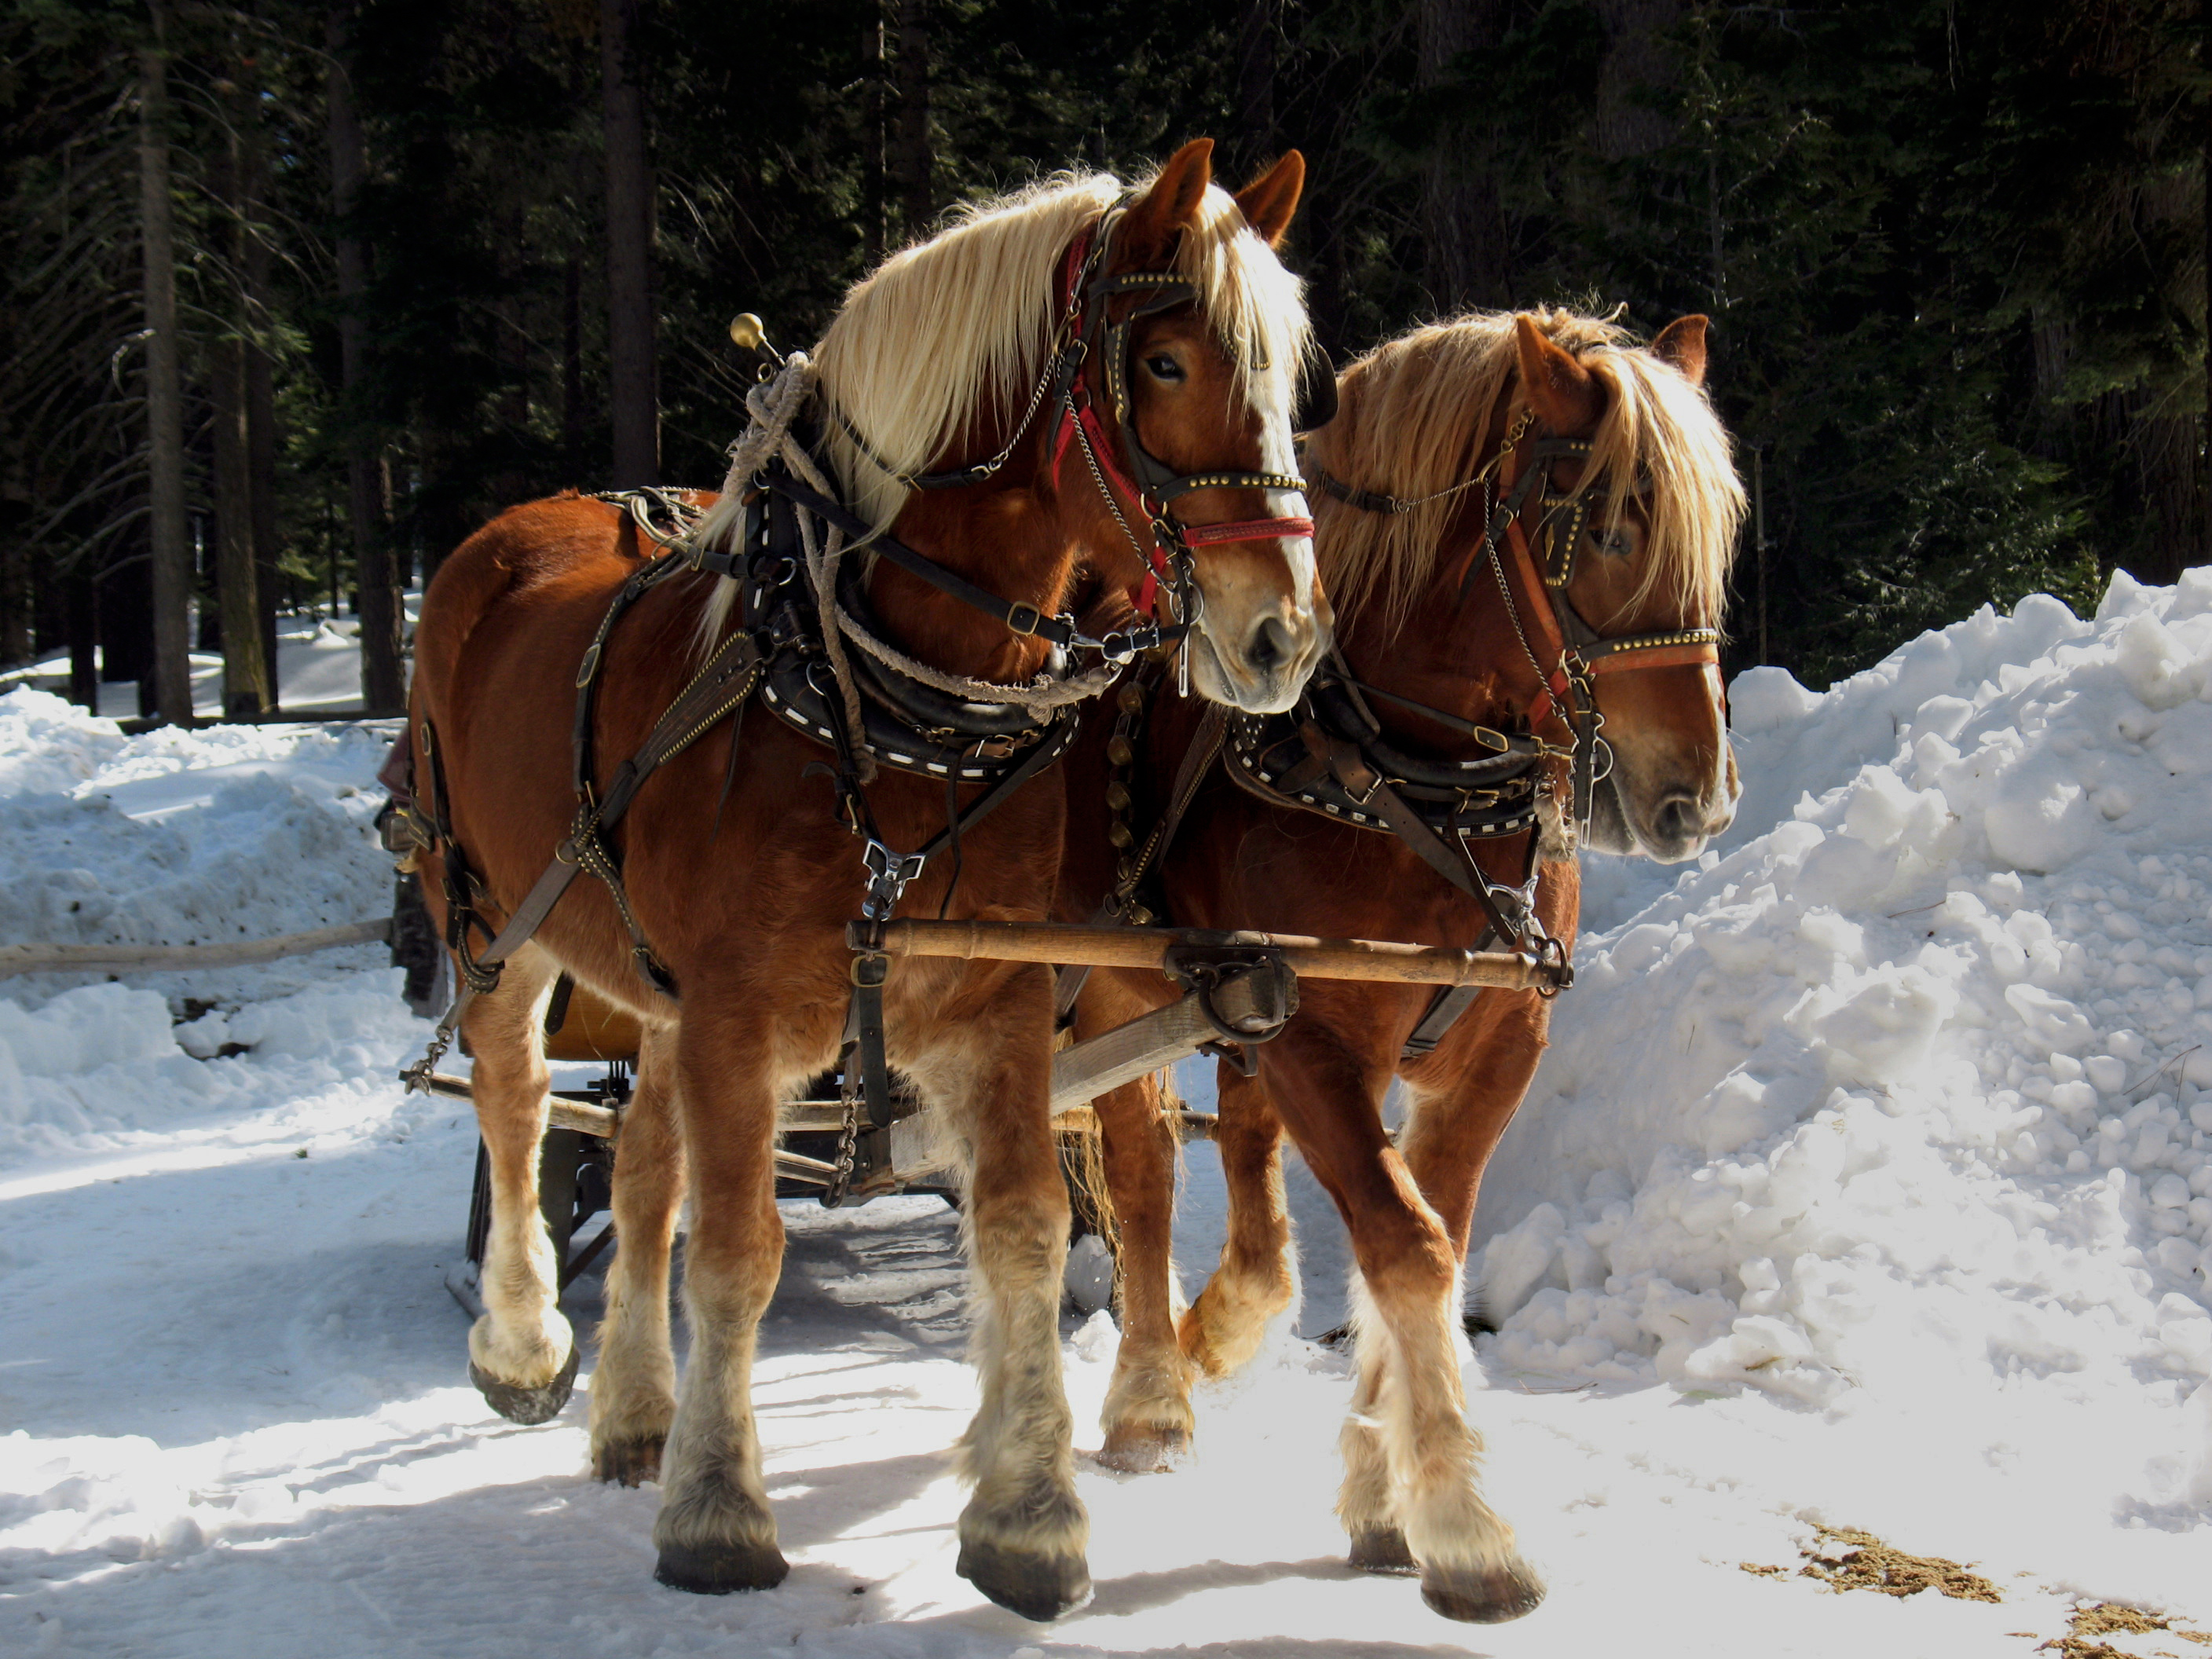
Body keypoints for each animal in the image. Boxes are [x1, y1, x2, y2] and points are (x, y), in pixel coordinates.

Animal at [405, 142, 1318, 1628]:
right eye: (1168, 360)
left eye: (1294, 374)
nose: (1283, 632)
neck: (882, 709)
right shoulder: (737, 1016)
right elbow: (736, 1249)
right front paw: (720, 1515)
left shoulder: (991, 1003)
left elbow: (1022, 1225)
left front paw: (1028, 1520)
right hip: (494, 917)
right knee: (521, 1098)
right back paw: (528, 1340)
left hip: (646, 975)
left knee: (640, 1159)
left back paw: (635, 1414)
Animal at [1053, 309, 1743, 1628]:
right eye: (1612, 529)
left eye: (1719, 539)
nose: (1697, 799)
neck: (1400, 781)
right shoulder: (1317, 1037)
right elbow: (1407, 1245)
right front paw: (1468, 1525)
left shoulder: (1491, 1050)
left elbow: (1426, 1237)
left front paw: (1386, 1490)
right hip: (1112, 984)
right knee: (1149, 1170)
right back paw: (1156, 1394)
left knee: (1237, 1176)